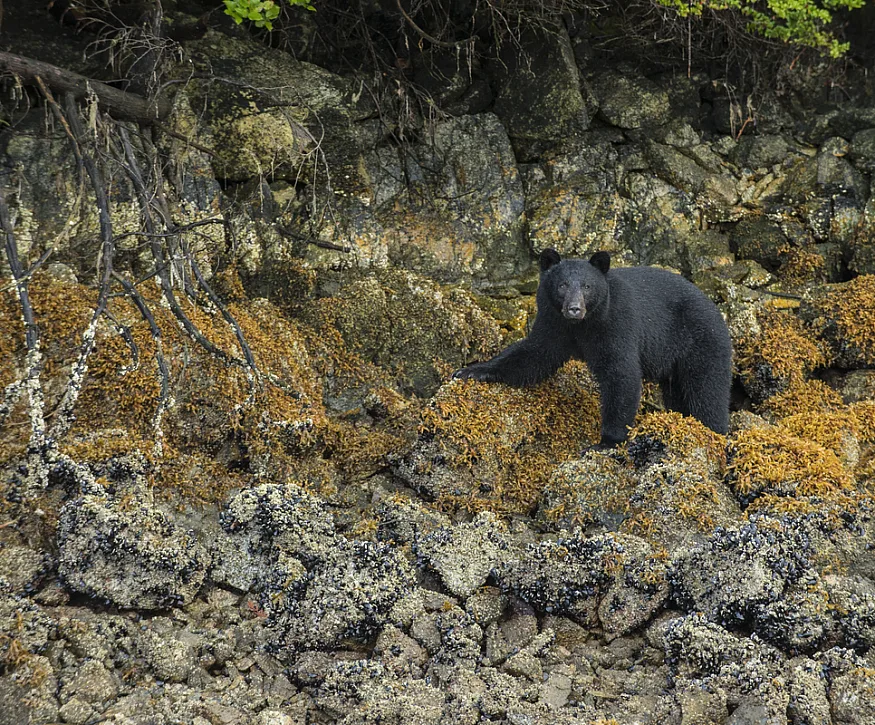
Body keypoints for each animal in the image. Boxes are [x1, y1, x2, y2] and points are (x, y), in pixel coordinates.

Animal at [454, 249, 732, 448]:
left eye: (587, 286)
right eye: (563, 285)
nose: (574, 308)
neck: (581, 326)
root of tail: (717, 311)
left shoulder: (615, 323)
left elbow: (620, 373)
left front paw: (606, 441)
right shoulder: (553, 322)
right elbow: (533, 354)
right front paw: (471, 371)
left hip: (701, 344)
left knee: (707, 393)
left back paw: (713, 432)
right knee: (679, 394)